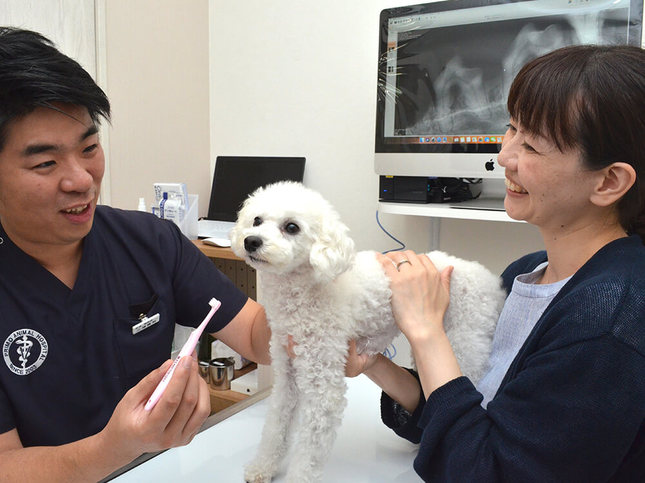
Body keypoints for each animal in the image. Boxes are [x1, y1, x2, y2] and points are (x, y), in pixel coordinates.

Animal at [231, 182, 508, 483]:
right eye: (257, 221)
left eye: (291, 227)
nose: (251, 241)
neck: (305, 291)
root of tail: (494, 285)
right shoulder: (287, 371)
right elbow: (276, 425)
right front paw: (262, 467)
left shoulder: (323, 384)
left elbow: (309, 450)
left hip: (465, 343)